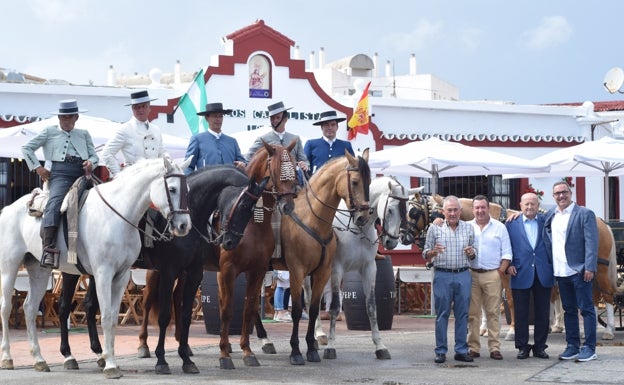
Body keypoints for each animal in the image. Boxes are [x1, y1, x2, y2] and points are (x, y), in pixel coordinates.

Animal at [0, 157, 191, 378]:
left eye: (187, 190)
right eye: (173, 188)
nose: (184, 226)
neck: (117, 215)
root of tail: (8, 209)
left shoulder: (121, 276)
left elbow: (113, 318)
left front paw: (109, 358)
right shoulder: (103, 274)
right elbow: (106, 316)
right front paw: (110, 365)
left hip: (39, 270)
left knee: (29, 308)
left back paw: (39, 359)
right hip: (10, 266)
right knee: (6, 308)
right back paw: (8, 358)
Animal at [54, 163, 268, 372]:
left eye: (252, 210)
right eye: (242, 205)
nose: (230, 242)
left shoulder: (194, 273)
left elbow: (186, 314)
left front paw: (185, 359)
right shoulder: (169, 271)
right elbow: (165, 315)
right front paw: (162, 360)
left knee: (90, 305)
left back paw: (99, 352)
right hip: (76, 271)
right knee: (66, 307)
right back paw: (70, 355)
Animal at [272, 148, 370, 364]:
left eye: (370, 180)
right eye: (355, 182)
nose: (363, 217)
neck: (312, 219)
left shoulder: (322, 272)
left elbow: (314, 308)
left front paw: (311, 348)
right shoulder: (296, 271)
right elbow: (297, 310)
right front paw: (295, 351)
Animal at [312, 176, 410, 358]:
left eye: (406, 210)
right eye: (390, 210)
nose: (391, 242)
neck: (356, 227)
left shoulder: (369, 269)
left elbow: (371, 306)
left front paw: (380, 346)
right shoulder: (336, 269)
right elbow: (335, 307)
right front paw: (331, 347)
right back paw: (317, 336)